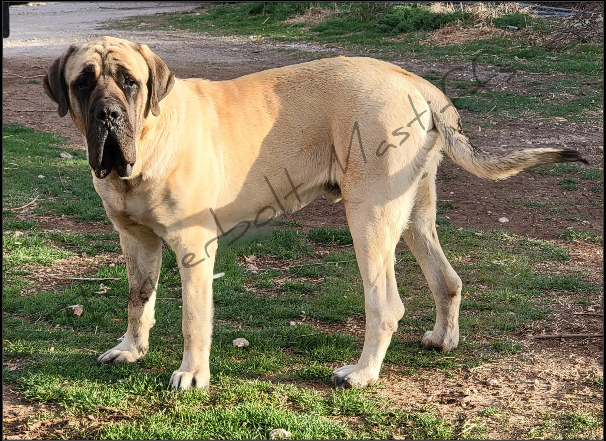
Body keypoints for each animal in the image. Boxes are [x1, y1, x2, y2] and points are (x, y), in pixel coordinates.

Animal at [44, 37, 588, 388]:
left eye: (129, 83)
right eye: (84, 83)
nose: (108, 115)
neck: (152, 137)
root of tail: (415, 82)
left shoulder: (194, 249)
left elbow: (193, 318)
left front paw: (192, 374)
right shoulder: (135, 240)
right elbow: (138, 300)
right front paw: (131, 350)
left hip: (369, 217)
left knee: (385, 304)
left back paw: (362, 374)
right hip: (414, 215)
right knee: (447, 279)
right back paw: (442, 339)